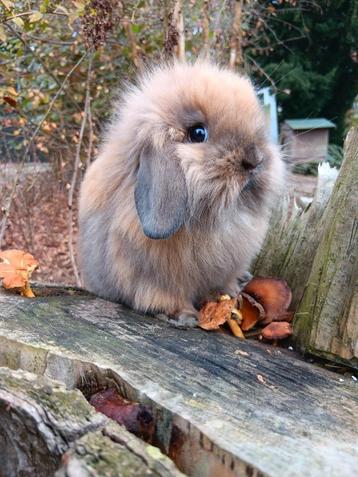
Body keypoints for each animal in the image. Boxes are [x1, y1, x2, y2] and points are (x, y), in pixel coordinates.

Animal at [77, 60, 286, 328]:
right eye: (198, 133)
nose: (255, 160)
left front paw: (228, 298)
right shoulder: (153, 281)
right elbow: (165, 298)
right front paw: (185, 317)